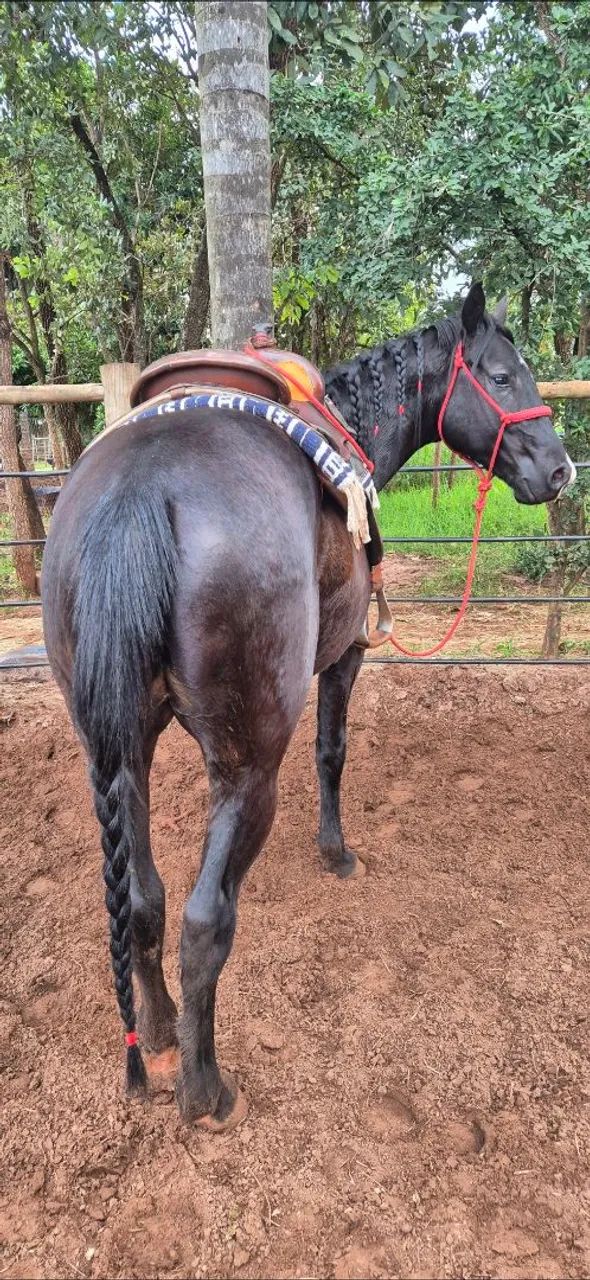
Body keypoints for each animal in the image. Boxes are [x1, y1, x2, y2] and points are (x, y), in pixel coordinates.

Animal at [42, 282, 574, 1131]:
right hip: (247, 766)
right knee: (204, 922)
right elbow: (332, 752)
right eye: (501, 373)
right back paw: (205, 1090)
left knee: (146, 902)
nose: (560, 470)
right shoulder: (347, 654)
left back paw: (157, 1033)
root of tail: (142, 489)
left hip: (120, 751)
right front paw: (336, 850)